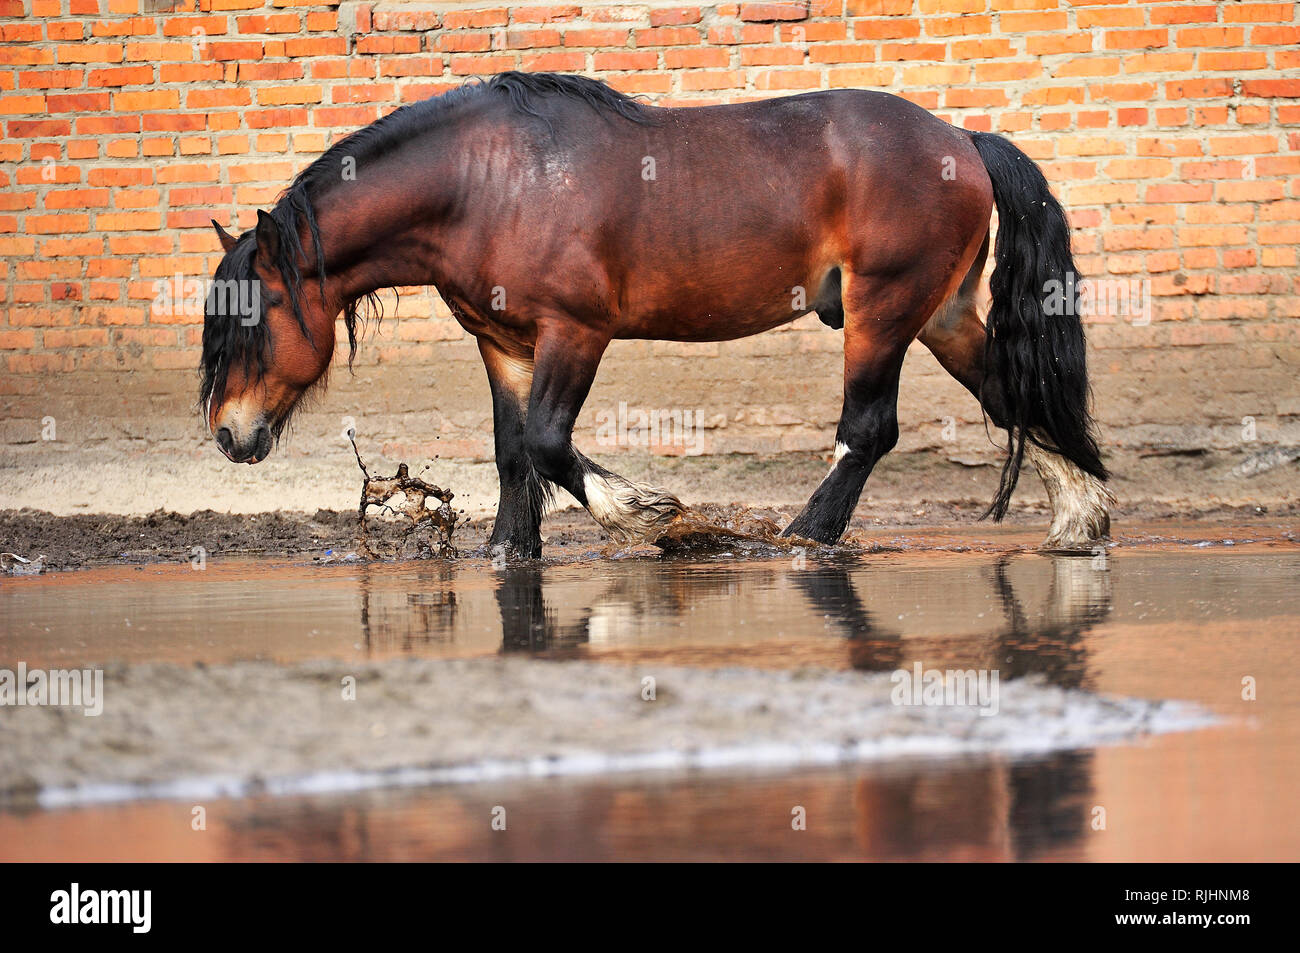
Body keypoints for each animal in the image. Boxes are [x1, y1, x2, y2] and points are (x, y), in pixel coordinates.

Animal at [200, 72, 1112, 559]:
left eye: (259, 312)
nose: (228, 435)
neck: (488, 181)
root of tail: (961, 138)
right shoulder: (503, 344)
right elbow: (511, 449)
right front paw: (509, 550)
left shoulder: (576, 331)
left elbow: (547, 442)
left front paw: (653, 514)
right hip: (938, 313)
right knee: (1011, 392)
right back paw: (1081, 515)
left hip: (881, 310)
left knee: (869, 429)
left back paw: (802, 535)